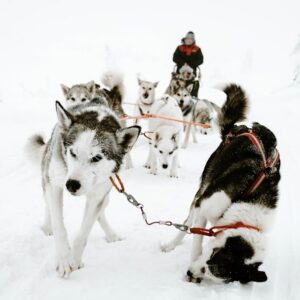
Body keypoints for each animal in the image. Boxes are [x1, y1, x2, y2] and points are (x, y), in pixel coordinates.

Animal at [28, 97, 141, 278]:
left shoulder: (97, 197)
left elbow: (83, 233)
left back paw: (111, 234)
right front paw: (64, 259)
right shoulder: (54, 186)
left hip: (106, 195)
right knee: (48, 206)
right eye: (73, 153)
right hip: (47, 177)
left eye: (96, 158)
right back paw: (47, 226)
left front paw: (74, 259)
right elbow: (60, 227)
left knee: (100, 214)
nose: (71, 184)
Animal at [162, 84, 282, 284]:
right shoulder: (205, 206)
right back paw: (171, 244)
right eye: (212, 256)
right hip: (204, 185)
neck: (246, 202)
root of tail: (244, 128)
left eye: (222, 278)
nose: (190, 273)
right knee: (187, 222)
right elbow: (196, 240)